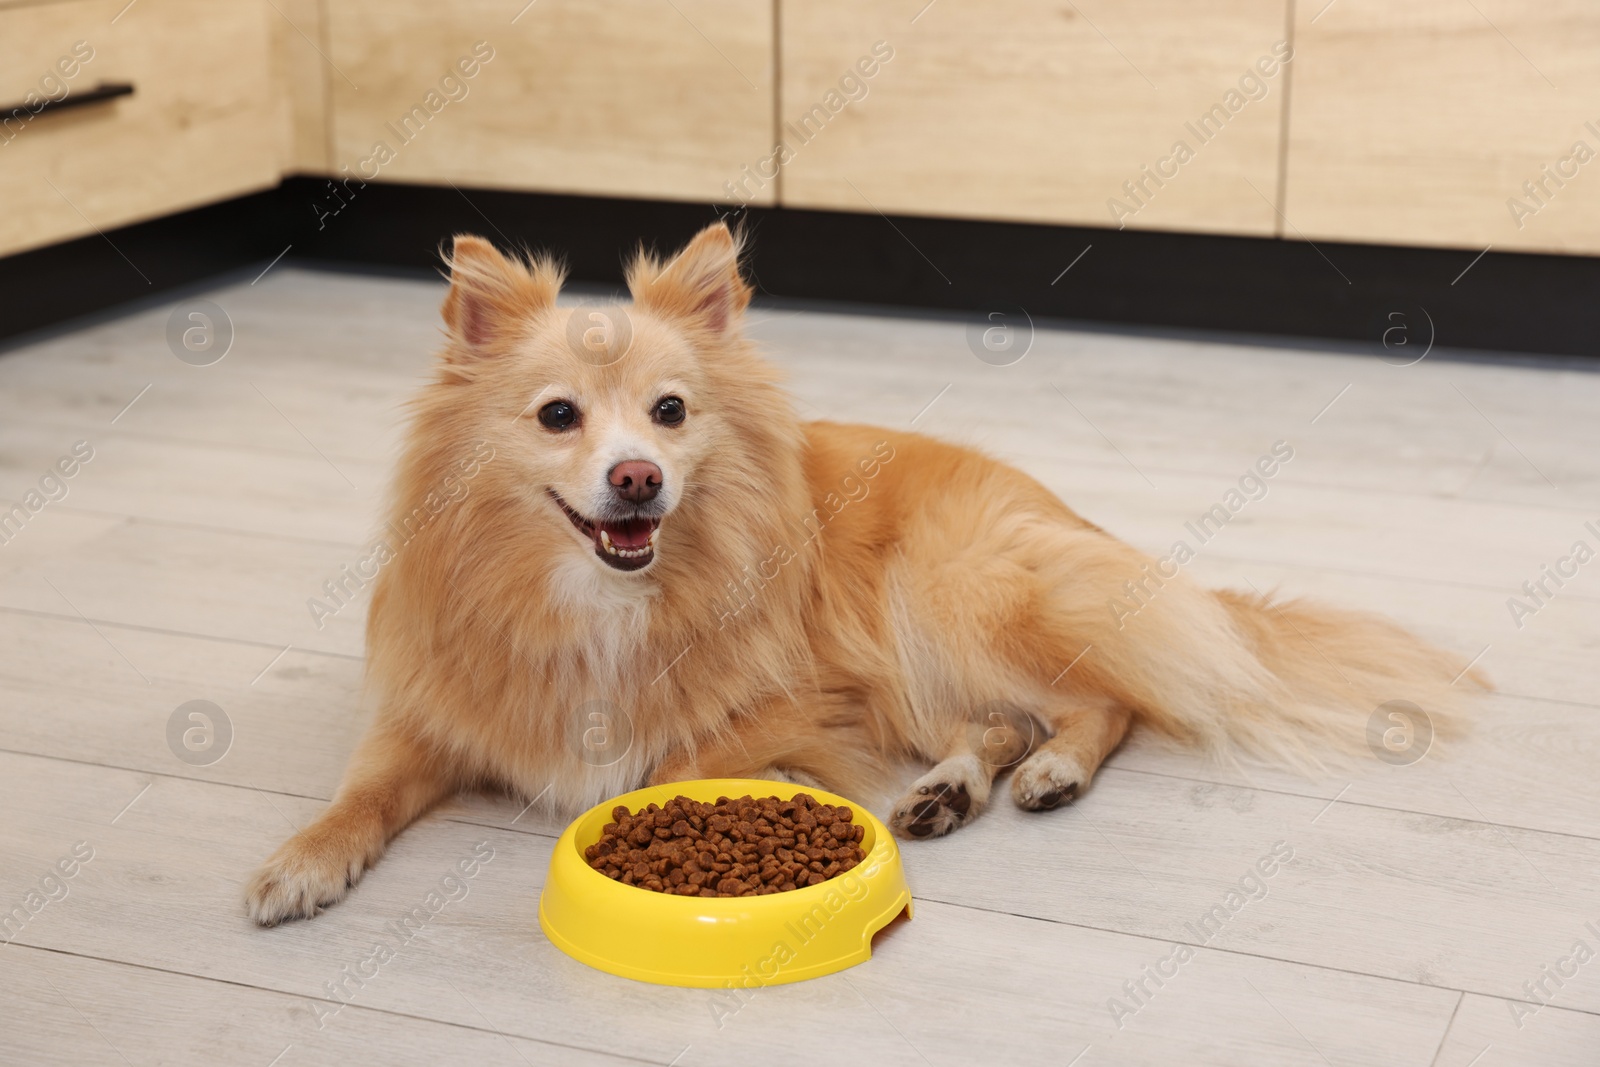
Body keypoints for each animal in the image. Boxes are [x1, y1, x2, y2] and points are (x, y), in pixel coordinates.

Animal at [243, 223, 1478, 927]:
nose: (639, 477)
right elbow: (362, 789)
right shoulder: (431, 709)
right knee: (998, 720)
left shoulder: (802, 702)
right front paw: (301, 861)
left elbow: (669, 756)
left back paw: (1050, 771)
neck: (603, 595)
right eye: (557, 417)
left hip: (941, 595)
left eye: (670, 411)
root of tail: (1071, 522)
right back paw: (948, 789)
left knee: (1099, 701)